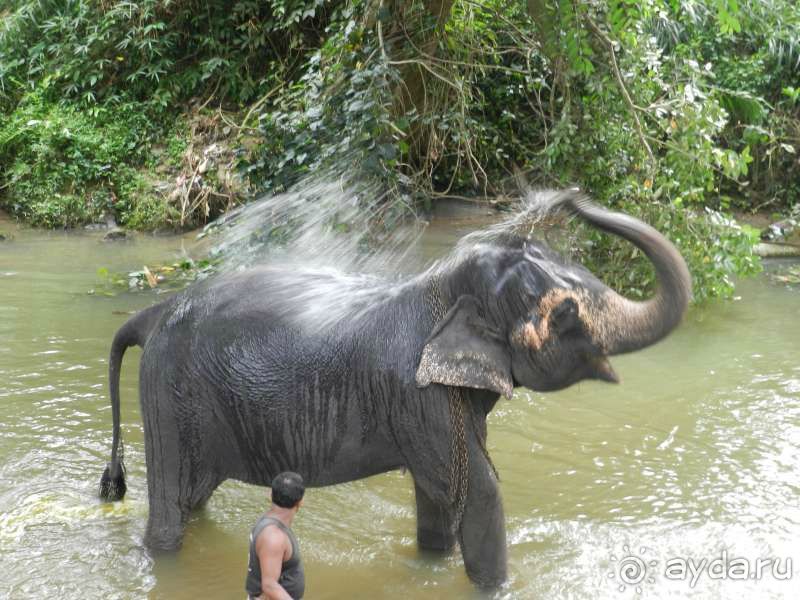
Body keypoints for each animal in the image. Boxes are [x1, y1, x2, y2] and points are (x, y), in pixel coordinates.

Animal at [98, 190, 688, 588]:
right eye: (564, 313)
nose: (569, 196)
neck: (440, 285)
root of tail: (154, 312)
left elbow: (440, 496)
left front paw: (430, 566)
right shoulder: (418, 394)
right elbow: (479, 492)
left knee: (194, 498)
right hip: (171, 395)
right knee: (170, 512)